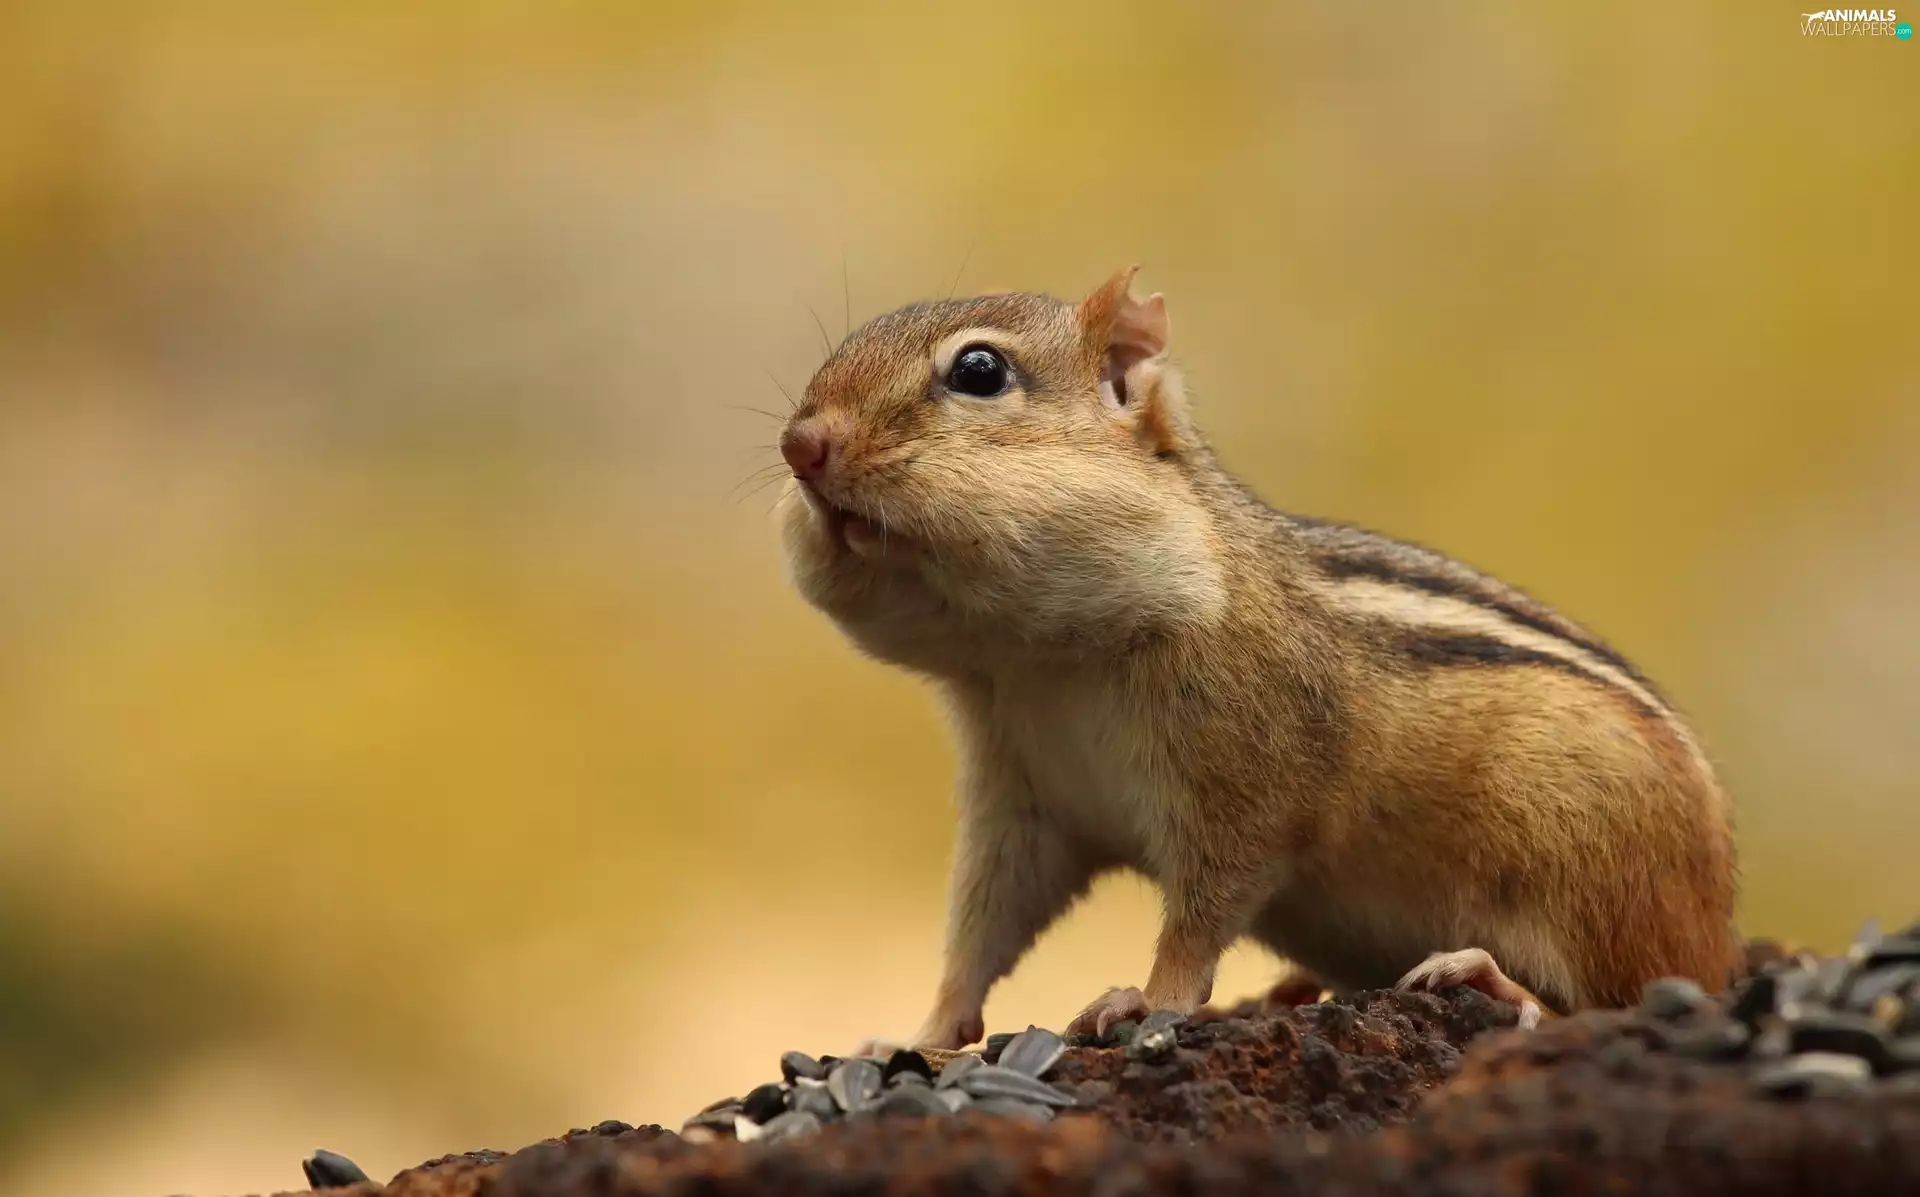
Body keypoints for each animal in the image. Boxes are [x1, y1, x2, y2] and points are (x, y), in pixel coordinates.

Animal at [775, 266, 1740, 1047]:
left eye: (979, 372)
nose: (800, 445)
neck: (1044, 661)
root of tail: (1717, 937)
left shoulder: (1248, 782)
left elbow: (1201, 917)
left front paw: (1145, 1000)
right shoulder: (1023, 799)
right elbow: (981, 927)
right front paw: (922, 1031)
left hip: (1585, 858)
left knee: (1618, 998)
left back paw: (1489, 976)